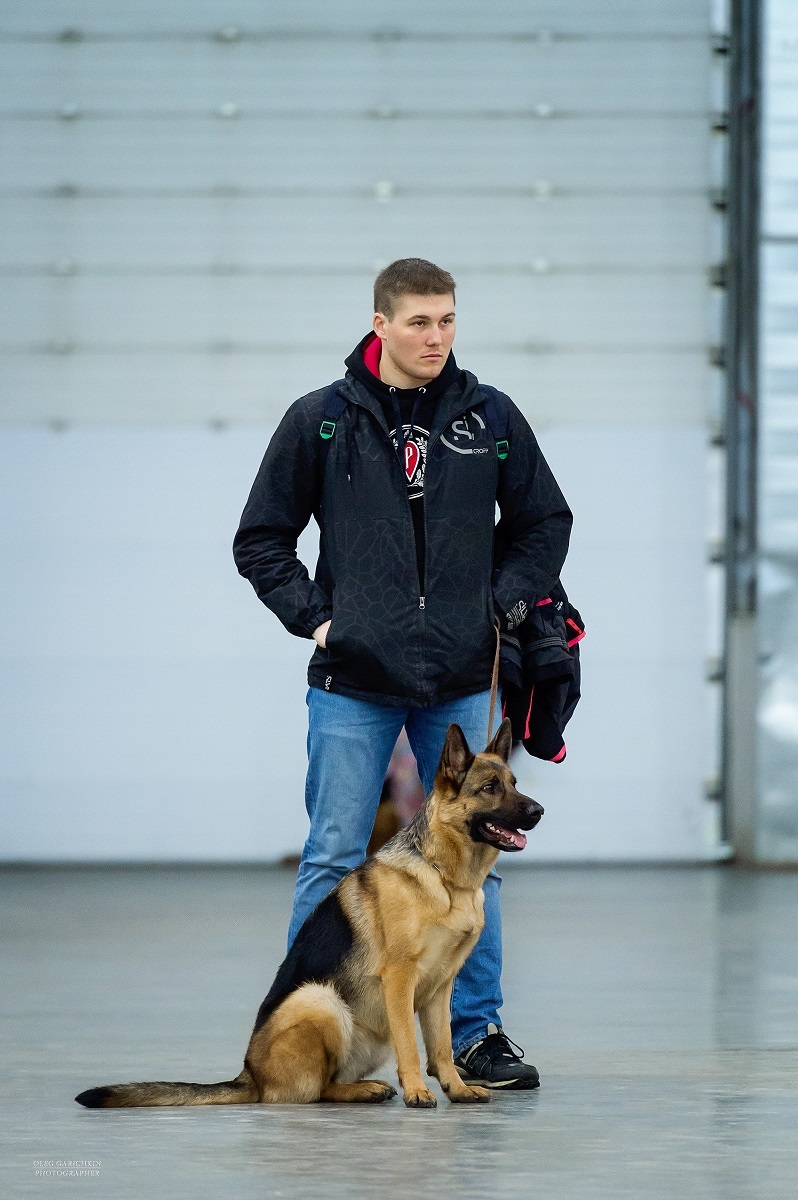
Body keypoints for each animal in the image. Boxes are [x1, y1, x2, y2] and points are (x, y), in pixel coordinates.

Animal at [74, 715, 542, 1108]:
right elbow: (411, 1045)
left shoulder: (442, 987)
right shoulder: (400, 978)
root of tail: (249, 1075)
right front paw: (418, 1091)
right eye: (489, 788)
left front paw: (456, 1089)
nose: (539, 811)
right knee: (314, 1090)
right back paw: (363, 1091)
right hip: (320, 1000)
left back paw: (368, 1086)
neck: (445, 878)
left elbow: (442, 1045)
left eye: (515, 783)